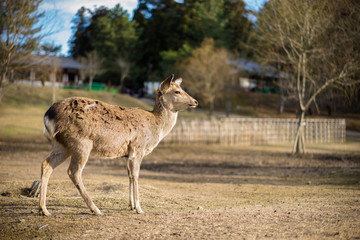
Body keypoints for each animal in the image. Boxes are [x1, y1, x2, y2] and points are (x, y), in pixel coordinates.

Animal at [38, 74, 200, 216]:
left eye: (181, 88)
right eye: (177, 91)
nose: (195, 101)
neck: (156, 127)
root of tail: (48, 115)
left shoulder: (127, 154)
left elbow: (129, 175)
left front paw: (131, 205)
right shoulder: (138, 148)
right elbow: (135, 175)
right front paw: (139, 208)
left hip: (62, 145)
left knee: (46, 164)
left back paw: (44, 209)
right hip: (81, 143)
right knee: (74, 172)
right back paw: (95, 209)